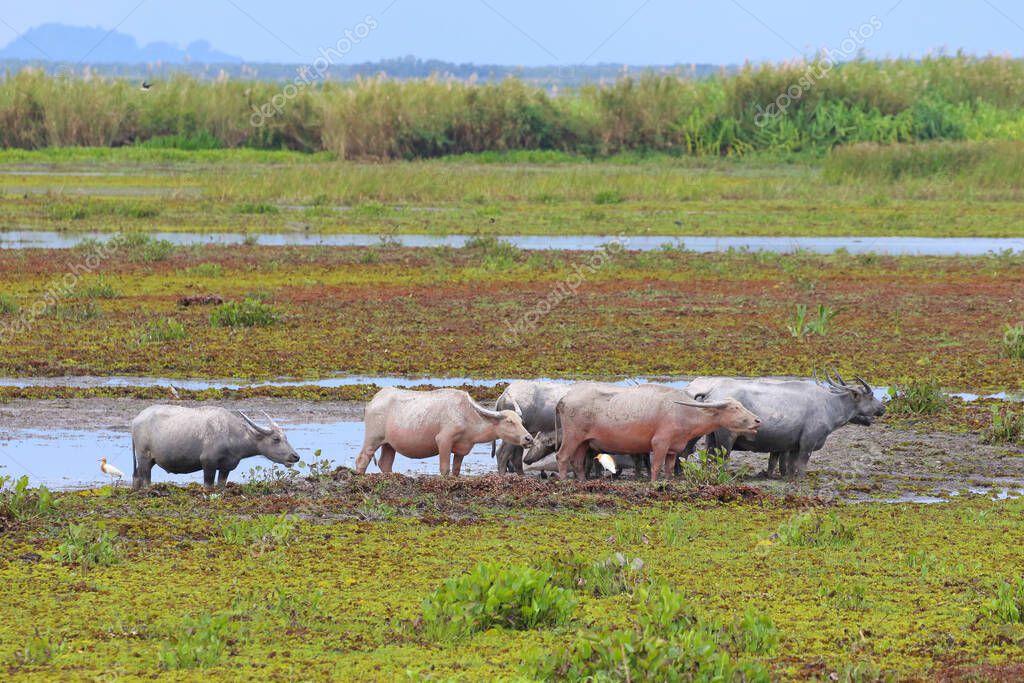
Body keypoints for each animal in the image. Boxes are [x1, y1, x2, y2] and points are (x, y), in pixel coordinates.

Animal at [130, 403, 299, 489]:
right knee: (146, 480)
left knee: (137, 476)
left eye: (286, 437)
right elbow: (208, 486)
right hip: (144, 457)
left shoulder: (226, 468)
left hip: (149, 461)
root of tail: (136, 419)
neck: (231, 435)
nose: (295, 456)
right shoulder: (208, 463)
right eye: (276, 439)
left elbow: (221, 485)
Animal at [356, 387, 536, 479]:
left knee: (385, 463)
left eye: (521, 422)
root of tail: (373, 401)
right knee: (362, 459)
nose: (528, 438)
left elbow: (456, 470)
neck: (466, 415)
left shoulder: (462, 449)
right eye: (509, 421)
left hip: (389, 444)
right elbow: (445, 469)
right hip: (373, 439)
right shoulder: (444, 440)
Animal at [552, 385, 761, 481]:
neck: (682, 412)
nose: (757, 420)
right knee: (562, 456)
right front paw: (654, 483)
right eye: (734, 408)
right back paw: (563, 481)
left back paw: (582, 481)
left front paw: (667, 482)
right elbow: (656, 466)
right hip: (572, 437)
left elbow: (668, 468)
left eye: (740, 405)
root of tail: (564, 398)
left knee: (577, 461)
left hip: (584, 442)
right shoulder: (660, 443)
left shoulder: (673, 449)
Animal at [688, 370, 888, 479]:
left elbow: (786, 468)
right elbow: (800, 467)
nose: (883, 408)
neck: (829, 404)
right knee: (723, 460)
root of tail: (711, 393)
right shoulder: (807, 443)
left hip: (711, 439)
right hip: (726, 439)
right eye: (870, 396)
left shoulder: (791, 447)